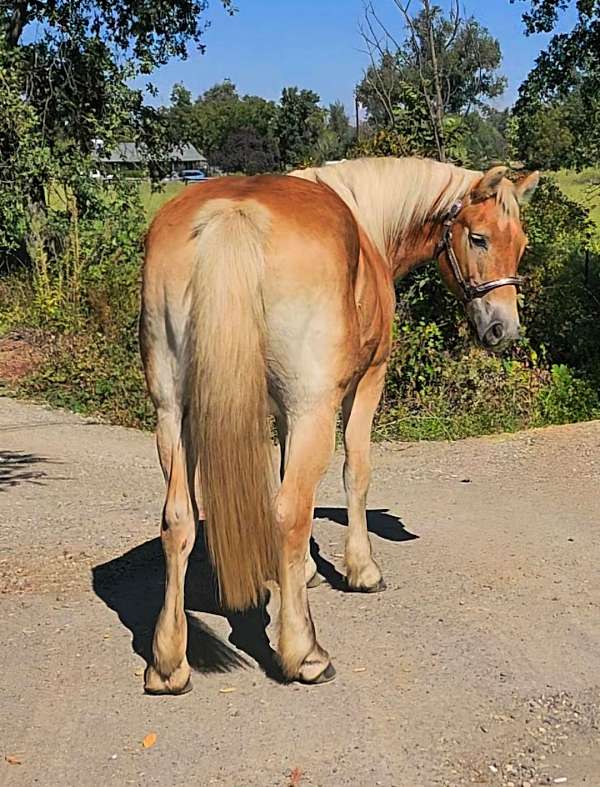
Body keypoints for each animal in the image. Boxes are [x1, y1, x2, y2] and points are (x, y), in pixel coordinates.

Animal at [139, 157, 540, 692]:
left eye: (520, 243)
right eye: (478, 238)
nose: (503, 330)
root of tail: (234, 214)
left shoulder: (284, 412)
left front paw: (306, 569)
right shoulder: (363, 384)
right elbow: (357, 473)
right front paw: (362, 570)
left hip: (172, 413)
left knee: (179, 519)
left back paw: (168, 664)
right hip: (311, 409)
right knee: (288, 510)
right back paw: (305, 653)